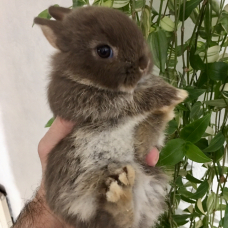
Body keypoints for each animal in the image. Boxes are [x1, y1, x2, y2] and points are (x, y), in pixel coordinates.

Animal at [33, 6, 187, 228]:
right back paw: (119, 194)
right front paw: (165, 93)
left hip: (147, 171)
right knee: (111, 219)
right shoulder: (84, 102)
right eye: (104, 51)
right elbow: (126, 102)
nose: (144, 64)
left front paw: (169, 92)